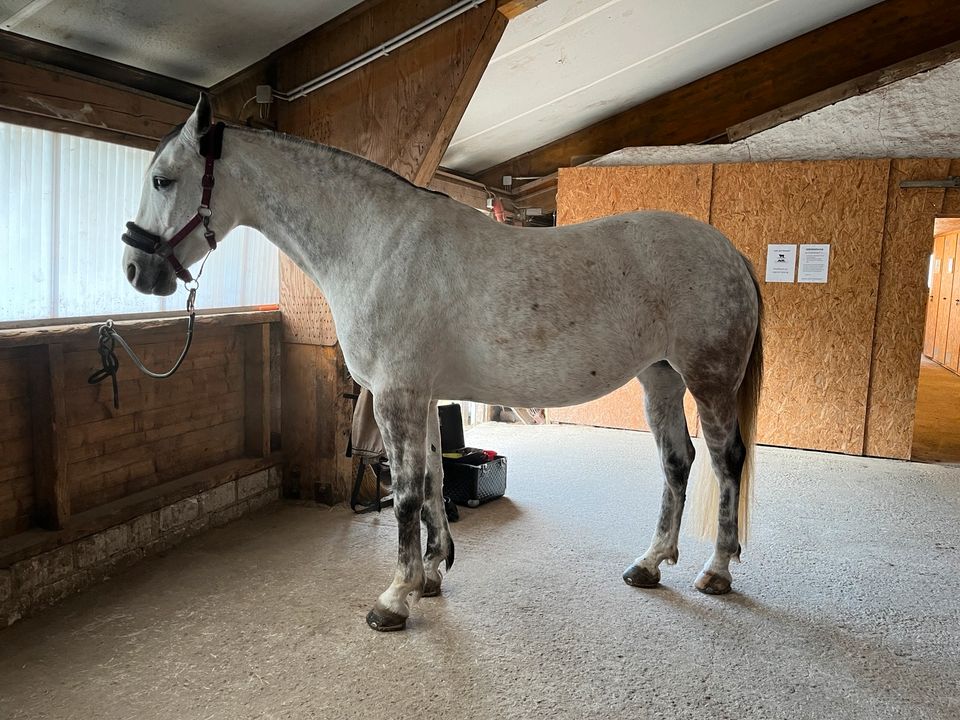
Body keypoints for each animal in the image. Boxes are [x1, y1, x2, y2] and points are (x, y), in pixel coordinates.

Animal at [124, 95, 760, 632]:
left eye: (162, 179)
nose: (136, 269)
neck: (376, 245)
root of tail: (731, 252)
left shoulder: (396, 396)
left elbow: (405, 494)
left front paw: (393, 600)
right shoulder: (423, 395)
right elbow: (431, 481)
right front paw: (431, 574)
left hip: (708, 381)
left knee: (726, 461)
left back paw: (716, 571)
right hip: (661, 379)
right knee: (677, 463)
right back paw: (650, 564)